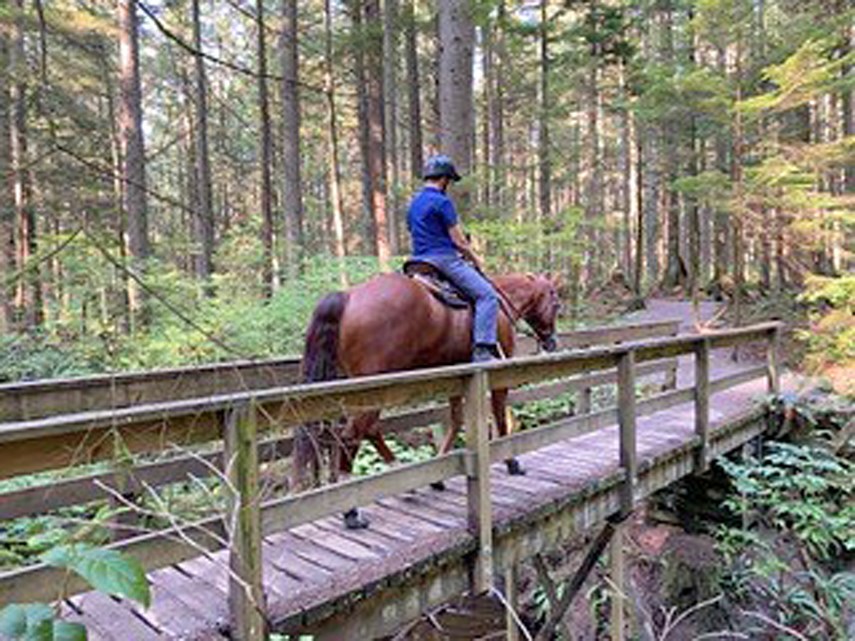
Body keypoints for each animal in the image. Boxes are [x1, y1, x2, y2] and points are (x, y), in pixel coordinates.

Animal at [292, 268, 560, 528]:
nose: (551, 342)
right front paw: (512, 462)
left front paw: (439, 476)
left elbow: (456, 420)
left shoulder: (458, 378)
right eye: (556, 304)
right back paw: (352, 512)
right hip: (372, 389)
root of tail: (348, 297)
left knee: (362, 430)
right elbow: (501, 419)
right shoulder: (498, 377)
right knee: (352, 435)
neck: (502, 303)